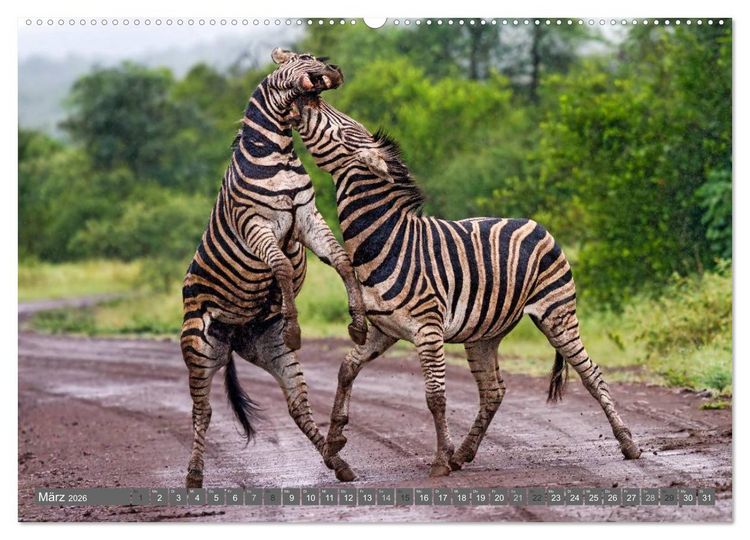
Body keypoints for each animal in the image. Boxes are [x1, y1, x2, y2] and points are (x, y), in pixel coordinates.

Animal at [180, 49, 366, 488]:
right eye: (304, 58)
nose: (334, 70)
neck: (276, 152)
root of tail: (233, 335)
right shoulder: (256, 225)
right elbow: (280, 266)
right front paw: (295, 325)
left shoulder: (307, 217)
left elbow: (341, 261)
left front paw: (358, 322)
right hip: (199, 348)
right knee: (202, 412)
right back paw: (194, 476)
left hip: (269, 349)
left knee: (297, 405)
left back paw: (337, 462)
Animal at [290, 93, 641, 480]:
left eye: (342, 130)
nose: (307, 100)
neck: (385, 241)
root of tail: (537, 224)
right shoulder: (384, 330)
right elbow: (346, 369)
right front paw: (335, 441)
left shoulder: (428, 330)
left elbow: (435, 396)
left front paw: (439, 461)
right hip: (484, 333)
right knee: (493, 391)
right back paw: (464, 453)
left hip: (557, 312)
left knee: (591, 373)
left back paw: (628, 443)